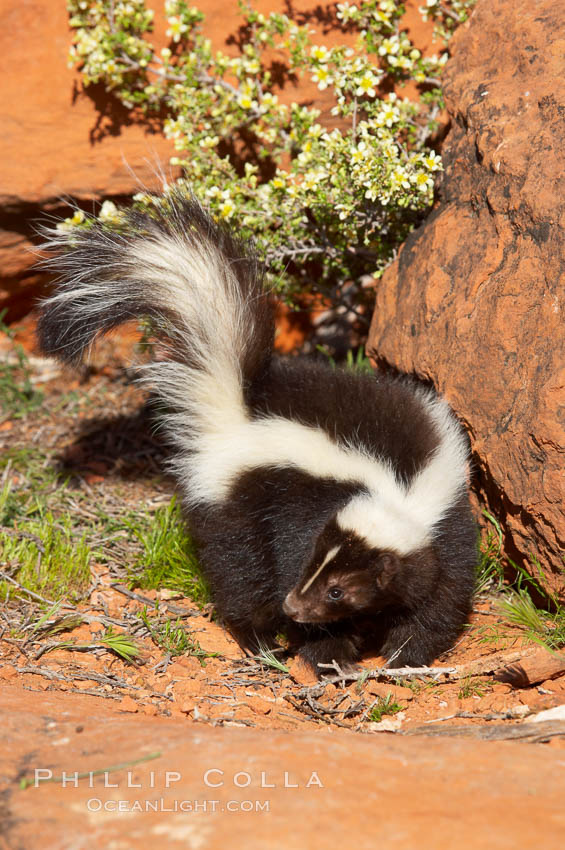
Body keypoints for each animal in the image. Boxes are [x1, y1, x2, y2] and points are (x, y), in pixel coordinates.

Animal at [37, 192, 476, 676]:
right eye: (314, 568)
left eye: (338, 589)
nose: (293, 607)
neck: (399, 488)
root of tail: (236, 406)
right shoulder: (302, 507)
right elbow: (282, 557)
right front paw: (330, 653)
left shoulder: (445, 520)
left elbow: (441, 592)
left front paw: (405, 655)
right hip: (234, 502)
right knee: (237, 568)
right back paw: (257, 638)